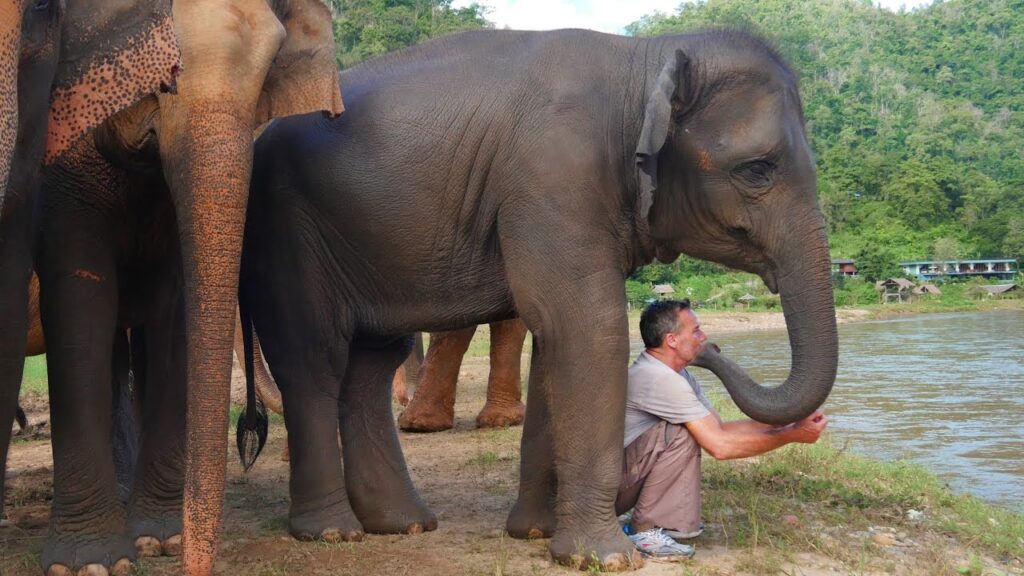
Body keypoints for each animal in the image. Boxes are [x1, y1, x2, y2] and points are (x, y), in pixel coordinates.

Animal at [241, 28, 839, 569]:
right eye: (757, 169)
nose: (708, 345)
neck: (644, 60)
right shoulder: (555, 180)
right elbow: (588, 328)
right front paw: (605, 558)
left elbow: (557, 341)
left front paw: (536, 534)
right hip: (286, 228)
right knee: (313, 359)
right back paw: (332, 533)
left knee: (371, 361)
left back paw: (402, 524)